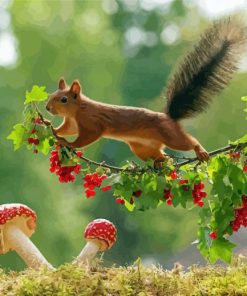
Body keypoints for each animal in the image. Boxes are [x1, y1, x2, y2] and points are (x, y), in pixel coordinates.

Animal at [46, 18, 247, 165]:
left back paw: (200, 151)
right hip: (142, 148)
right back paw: (161, 164)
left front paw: (68, 143)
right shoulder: (72, 123)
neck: (77, 110)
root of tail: (169, 117)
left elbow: (86, 137)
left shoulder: (92, 122)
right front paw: (52, 128)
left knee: (189, 141)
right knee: (160, 155)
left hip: (171, 136)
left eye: (63, 99)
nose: (47, 108)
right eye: (51, 95)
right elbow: (66, 129)